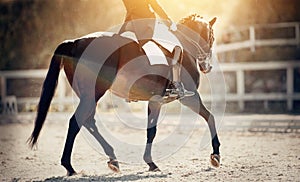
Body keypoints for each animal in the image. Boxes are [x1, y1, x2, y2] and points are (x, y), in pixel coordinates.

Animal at [27, 14, 220, 176]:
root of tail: (74, 42)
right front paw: (216, 155)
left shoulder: (155, 101)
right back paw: (70, 167)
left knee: (88, 121)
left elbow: (151, 131)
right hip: (94, 92)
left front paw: (151, 163)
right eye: (211, 37)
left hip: (88, 94)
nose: (207, 67)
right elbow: (210, 117)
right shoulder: (189, 97)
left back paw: (113, 159)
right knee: (76, 122)